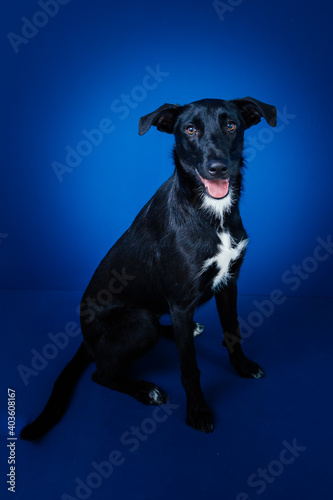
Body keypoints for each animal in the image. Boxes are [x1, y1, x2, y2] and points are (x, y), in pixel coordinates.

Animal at [20, 96, 274, 438]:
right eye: (190, 129)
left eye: (231, 125)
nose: (218, 167)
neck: (210, 212)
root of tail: (86, 339)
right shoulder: (180, 302)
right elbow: (189, 368)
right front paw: (198, 410)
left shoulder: (229, 283)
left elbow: (233, 331)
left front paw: (243, 367)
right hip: (140, 322)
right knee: (101, 373)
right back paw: (145, 390)